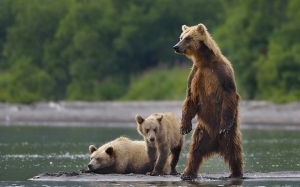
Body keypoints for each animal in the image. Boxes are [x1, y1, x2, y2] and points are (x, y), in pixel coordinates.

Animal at [173, 23, 244, 180]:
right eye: (181, 37)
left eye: (188, 38)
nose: (175, 47)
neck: (204, 61)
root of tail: (216, 145)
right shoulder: (195, 75)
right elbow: (190, 98)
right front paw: (184, 127)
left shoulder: (221, 73)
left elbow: (229, 94)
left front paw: (224, 124)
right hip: (202, 133)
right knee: (195, 152)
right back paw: (187, 173)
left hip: (228, 135)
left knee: (234, 152)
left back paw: (236, 173)